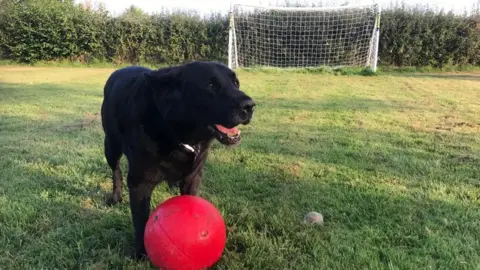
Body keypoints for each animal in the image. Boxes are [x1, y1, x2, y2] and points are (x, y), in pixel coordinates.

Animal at [100, 60, 255, 258]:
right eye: (211, 85)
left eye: (236, 83)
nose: (250, 106)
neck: (176, 133)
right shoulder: (139, 183)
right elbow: (141, 220)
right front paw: (141, 254)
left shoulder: (193, 176)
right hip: (111, 146)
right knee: (116, 171)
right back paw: (116, 196)